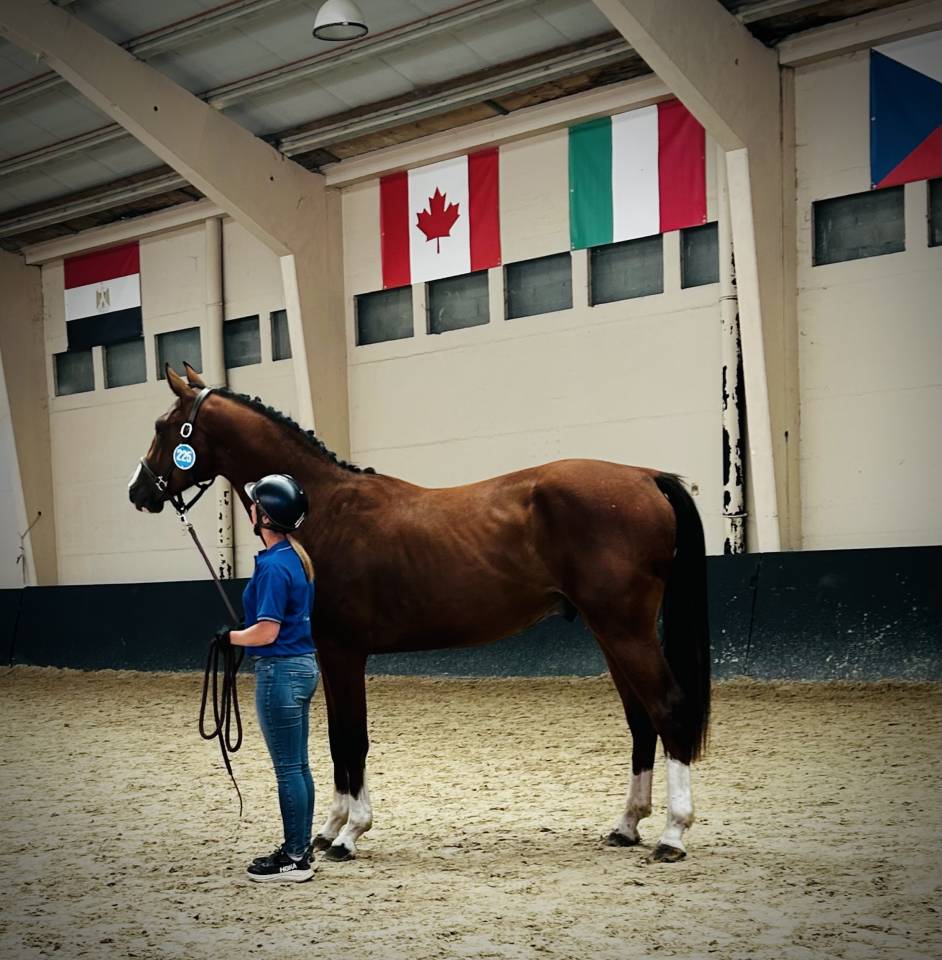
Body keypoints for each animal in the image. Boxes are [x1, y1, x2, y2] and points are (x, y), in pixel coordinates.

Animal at [129, 363, 710, 864]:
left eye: (163, 427)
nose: (138, 491)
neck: (323, 509)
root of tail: (645, 476)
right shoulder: (332, 658)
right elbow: (338, 739)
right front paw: (330, 829)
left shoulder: (343, 653)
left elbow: (352, 737)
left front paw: (350, 834)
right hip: (609, 633)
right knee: (640, 720)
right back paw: (626, 826)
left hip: (625, 629)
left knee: (667, 708)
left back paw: (672, 834)